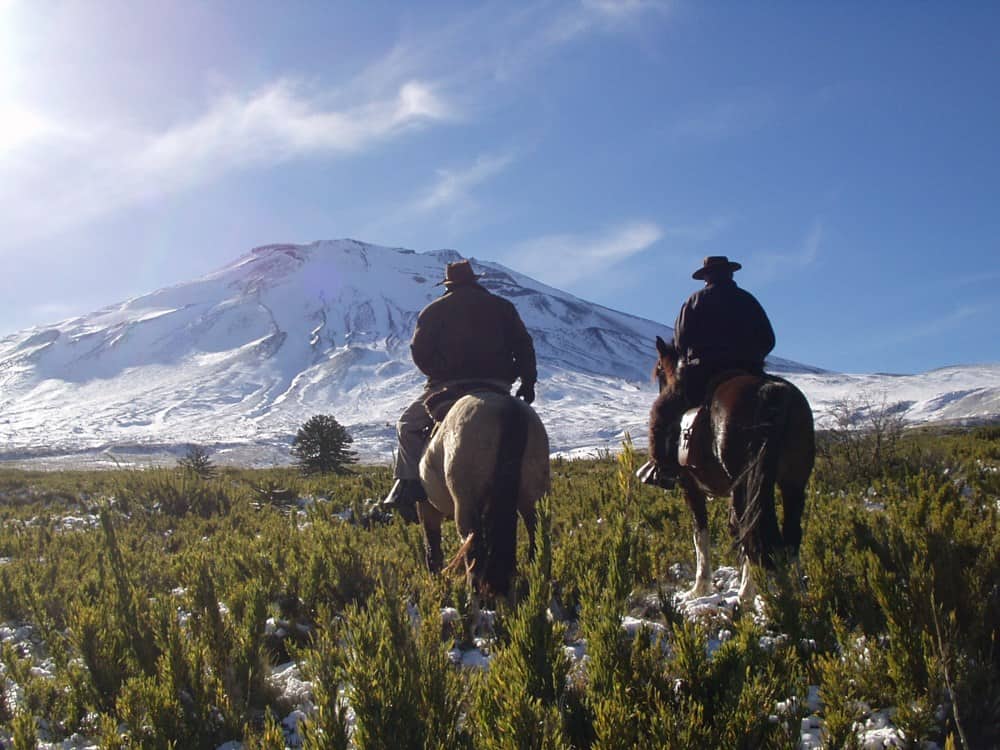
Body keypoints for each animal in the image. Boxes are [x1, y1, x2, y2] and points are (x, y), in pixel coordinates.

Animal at [640, 338, 812, 604]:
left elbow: (700, 533)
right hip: (792, 482)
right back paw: (794, 592)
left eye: (659, 370)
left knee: (751, 530)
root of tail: (770, 392)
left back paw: (746, 596)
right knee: (789, 536)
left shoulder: (690, 486)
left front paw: (700, 588)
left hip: (745, 483)